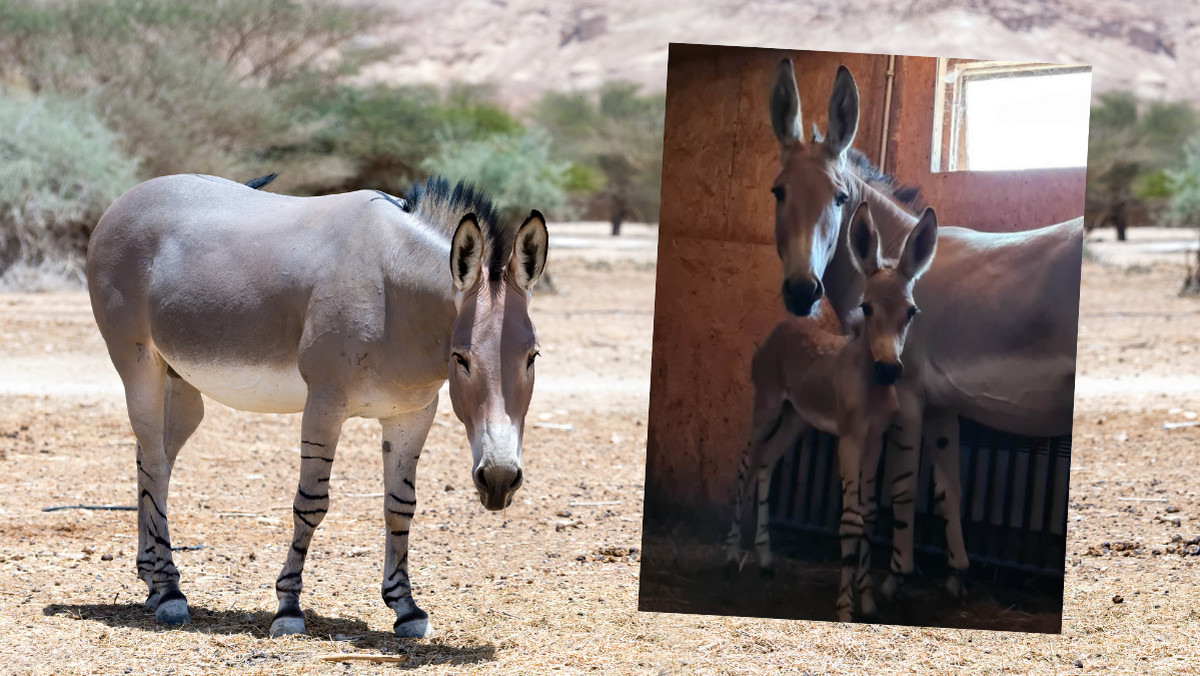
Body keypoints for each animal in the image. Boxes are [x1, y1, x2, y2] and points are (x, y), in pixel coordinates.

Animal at [85, 174, 549, 638]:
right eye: (461, 358)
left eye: (533, 357)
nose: (499, 480)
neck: (393, 290)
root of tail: (129, 197)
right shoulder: (325, 402)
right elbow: (311, 502)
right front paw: (288, 607)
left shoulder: (412, 414)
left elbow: (400, 507)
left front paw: (406, 607)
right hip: (138, 366)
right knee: (154, 465)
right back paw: (169, 592)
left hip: (180, 384)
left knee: (152, 462)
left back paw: (152, 580)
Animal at [720, 204, 936, 619]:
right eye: (866, 307)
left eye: (912, 312)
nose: (889, 369)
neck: (868, 383)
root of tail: (782, 328)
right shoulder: (850, 438)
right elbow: (851, 520)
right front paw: (844, 609)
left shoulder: (875, 440)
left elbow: (869, 513)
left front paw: (867, 601)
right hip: (767, 407)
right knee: (746, 463)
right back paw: (730, 554)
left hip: (796, 418)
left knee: (767, 462)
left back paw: (766, 559)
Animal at [763, 56, 1084, 597]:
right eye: (778, 192)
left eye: (839, 197)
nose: (803, 292)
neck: (894, 255)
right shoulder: (942, 406)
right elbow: (947, 489)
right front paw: (956, 574)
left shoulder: (907, 394)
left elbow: (901, 491)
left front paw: (893, 582)